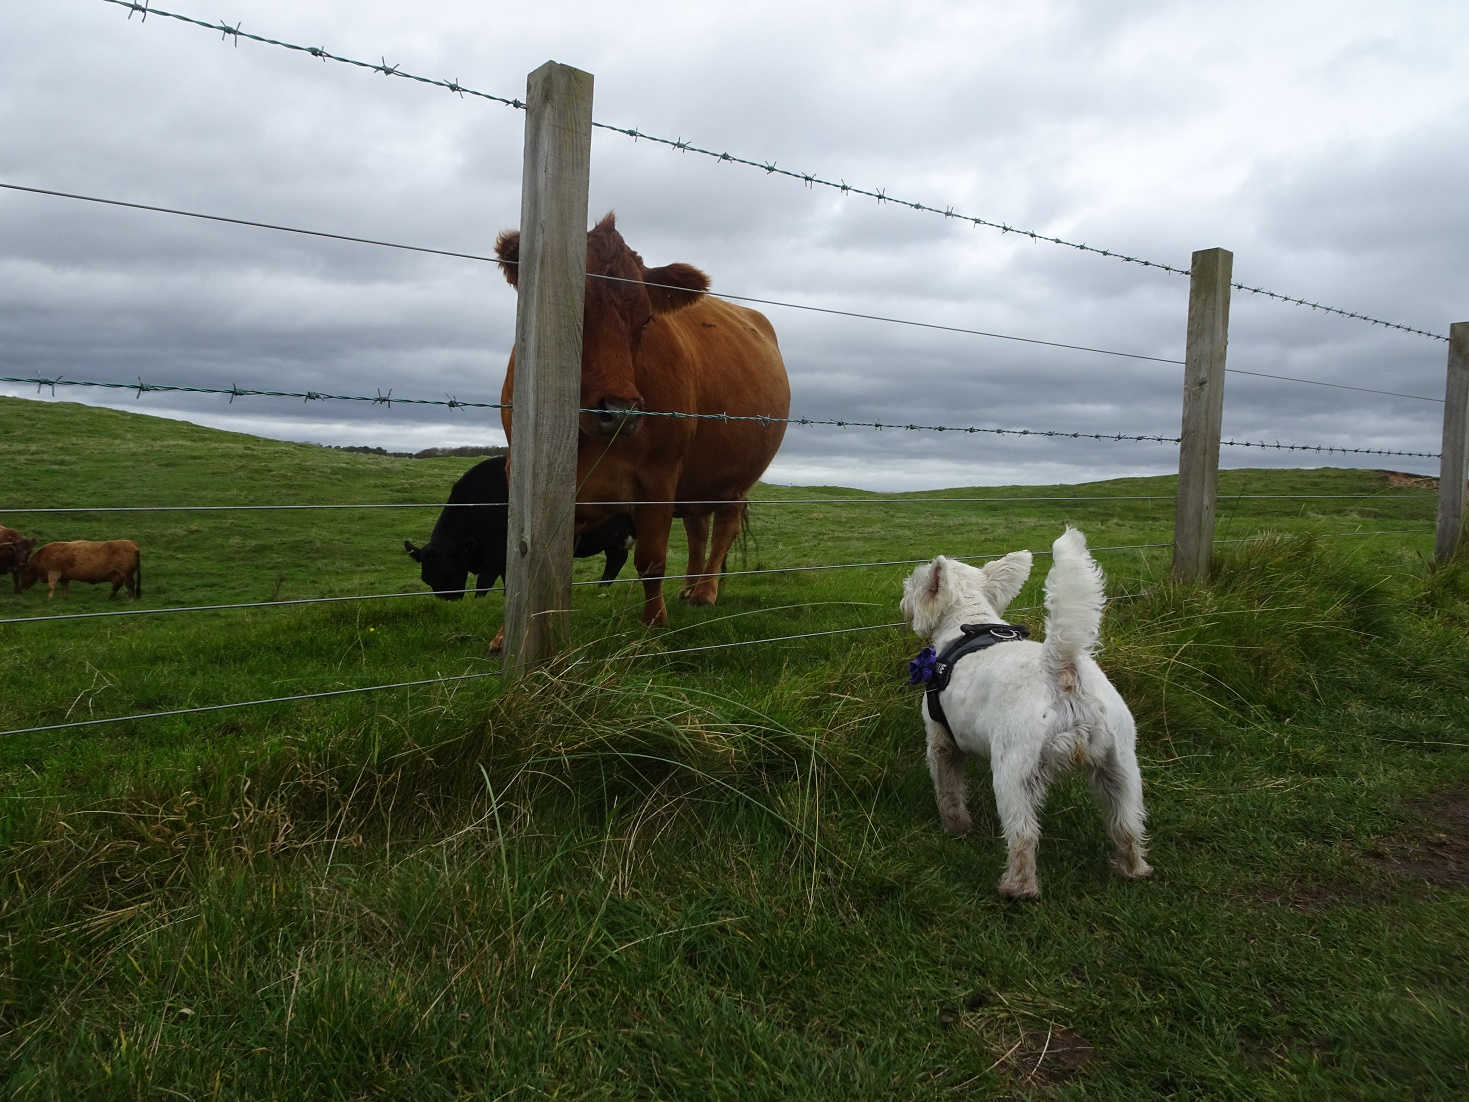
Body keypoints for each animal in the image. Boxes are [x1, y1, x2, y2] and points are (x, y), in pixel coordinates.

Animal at [405, 455, 634, 605]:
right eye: (427, 579)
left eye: (450, 572)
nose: (448, 604)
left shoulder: (495, 556)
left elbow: (483, 585)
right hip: (615, 536)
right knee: (616, 559)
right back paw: (601, 589)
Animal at [493, 215, 793, 628]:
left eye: (646, 318)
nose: (619, 410)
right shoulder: (518, 470)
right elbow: (526, 558)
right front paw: (505, 636)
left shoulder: (660, 475)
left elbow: (651, 560)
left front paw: (654, 625)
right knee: (698, 527)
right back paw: (689, 587)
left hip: (735, 479)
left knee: (724, 527)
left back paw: (705, 592)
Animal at [899, 531, 1151, 899]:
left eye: (915, 582)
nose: (902, 596)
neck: (967, 625)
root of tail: (1062, 669)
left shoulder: (941, 741)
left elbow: (949, 790)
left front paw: (956, 827)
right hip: (1120, 764)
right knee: (1127, 823)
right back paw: (1132, 869)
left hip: (1013, 770)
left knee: (1023, 835)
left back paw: (1017, 888)